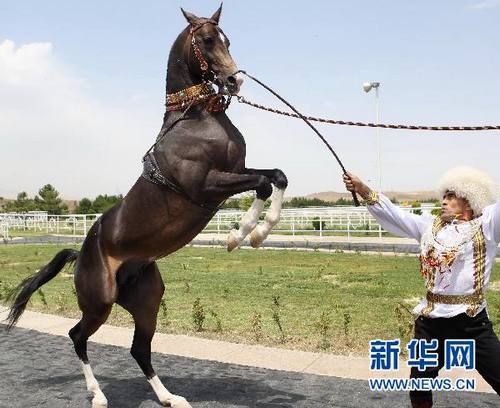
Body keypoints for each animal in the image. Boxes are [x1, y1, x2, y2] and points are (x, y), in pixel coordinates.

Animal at [6, 6, 290, 408]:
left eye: (228, 40)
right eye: (207, 40)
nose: (235, 80)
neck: (196, 118)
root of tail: (81, 252)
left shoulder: (235, 172)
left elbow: (277, 176)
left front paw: (259, 231)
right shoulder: (206, 185)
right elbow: (265, 183)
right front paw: (241, 234)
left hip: (147, 301)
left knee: (139, 349)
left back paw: (169, 397)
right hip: (99, 301)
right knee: (77, 336)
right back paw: (98, 395)